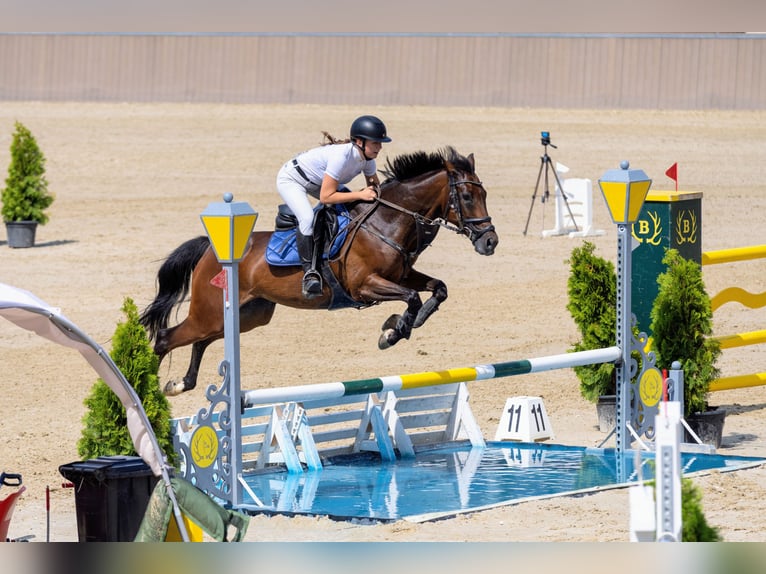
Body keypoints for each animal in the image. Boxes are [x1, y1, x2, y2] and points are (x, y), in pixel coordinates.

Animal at [140, 146, 499, 395]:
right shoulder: (365, 286)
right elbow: (411, 298)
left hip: (247, 315)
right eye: (467, 196)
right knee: (166, 338)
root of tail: (211, 251)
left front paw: (405, 324)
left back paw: (181, 383)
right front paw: (392, 331)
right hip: (211, 310)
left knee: (201, 341)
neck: (388, 222)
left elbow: (438, 289)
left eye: (484, 193)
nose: (490, 241)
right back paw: (146, 390)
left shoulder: (401, 275)